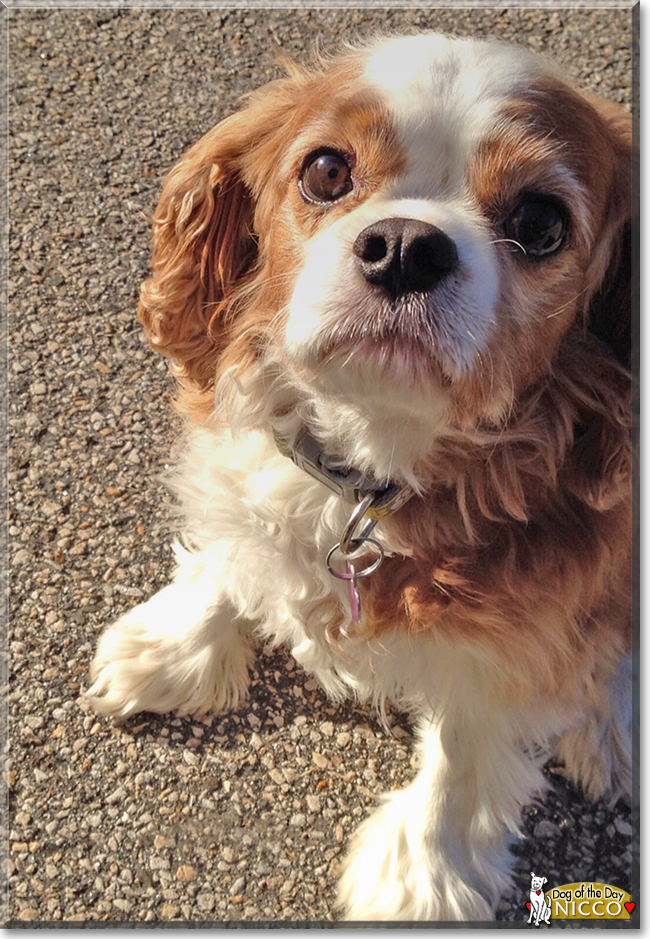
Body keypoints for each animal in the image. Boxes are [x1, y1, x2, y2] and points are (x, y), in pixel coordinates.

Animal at [83, 33, 632, 920]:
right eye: (326, 171)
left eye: (539, 223)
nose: (405, 245)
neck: (371, 468)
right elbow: (233, 550)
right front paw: (178, 642)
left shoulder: (523, 629)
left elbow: (468, 745)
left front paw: (424, 872)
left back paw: (612, 723)